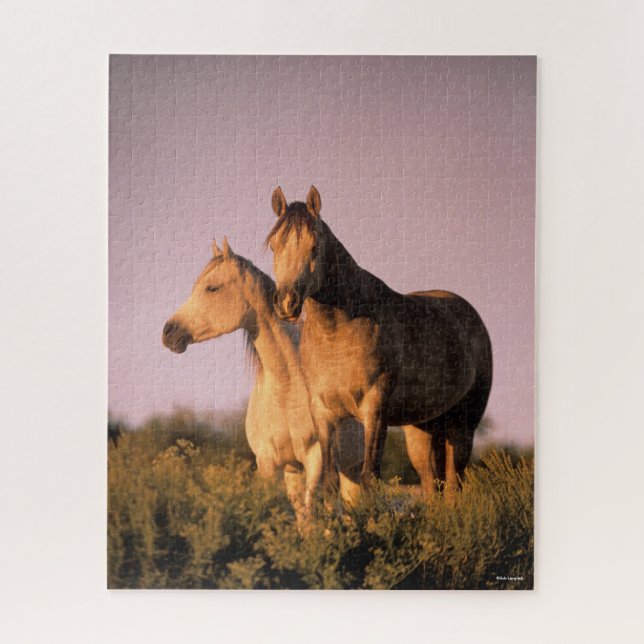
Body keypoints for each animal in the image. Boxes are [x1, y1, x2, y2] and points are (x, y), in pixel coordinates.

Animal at [161, 238, 325, 527]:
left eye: (212, 287)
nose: (168, 332)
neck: (287, 386)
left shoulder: (316, 459)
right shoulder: (269, 463)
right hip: (295, 470)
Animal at [267, 186, 493, 499]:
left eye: (315, 246)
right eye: (274, 246)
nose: (286, 303)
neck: (338, 332)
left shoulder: (375, 409)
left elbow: (369, 477)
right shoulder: (324, 414)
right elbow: (328, 481)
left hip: (463, 425)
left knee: (452, 486)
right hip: (422, 428)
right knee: (430, 484)